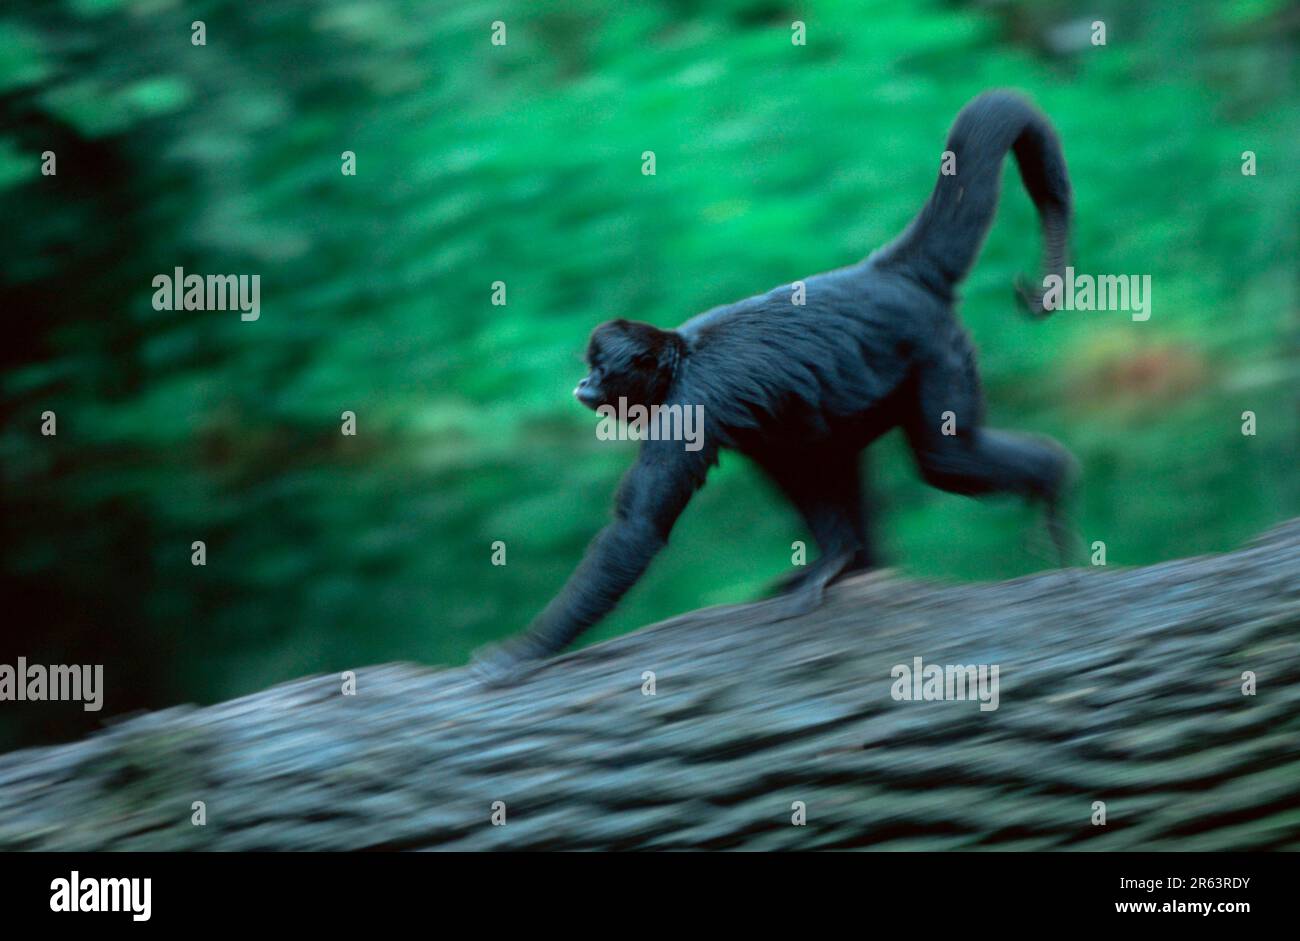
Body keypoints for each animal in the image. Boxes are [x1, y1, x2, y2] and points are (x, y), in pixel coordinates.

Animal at [472, 89, 1078, 686]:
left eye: (600, 369)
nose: (583, 383)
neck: (681, 357)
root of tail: (891, 272)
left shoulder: (690, 405)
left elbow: (637, 530)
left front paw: (523, 651)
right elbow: (796, 466)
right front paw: (841, 558)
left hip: (933, 351)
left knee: (944, 460)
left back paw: (1053, 477)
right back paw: (856, 562)